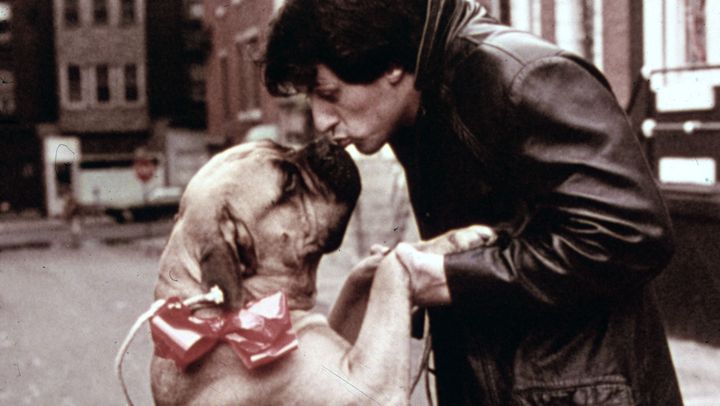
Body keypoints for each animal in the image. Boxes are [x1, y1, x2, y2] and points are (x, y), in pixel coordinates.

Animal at [148, 138, 492, 404]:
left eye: (284, 147)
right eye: (289, 183)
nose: (325, 144)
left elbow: (365, 272)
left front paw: (440, 241)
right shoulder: (368, 383)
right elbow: (390, 269)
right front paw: (447, 244)